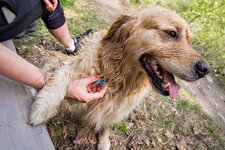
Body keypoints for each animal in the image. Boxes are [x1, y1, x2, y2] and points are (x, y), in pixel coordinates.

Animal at [29, 7, 210, 150]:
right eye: (172, 33)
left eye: (189, 40)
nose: (205, 69)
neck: (119, 75)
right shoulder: (78, 72)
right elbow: (61, 75)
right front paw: (42, 107)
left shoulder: (118, 107)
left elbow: (106, 122)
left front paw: (103, 141)